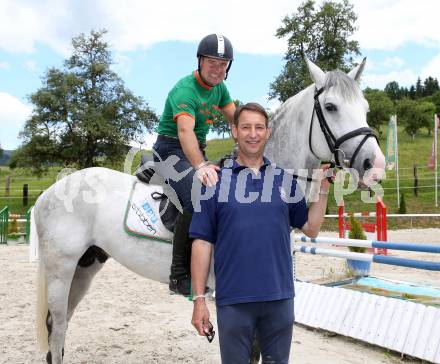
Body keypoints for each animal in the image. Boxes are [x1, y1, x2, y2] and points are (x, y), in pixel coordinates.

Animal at [34, 58, 384, 362]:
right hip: (61, 269)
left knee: (61, 327)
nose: (375, 165)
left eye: (366, 108)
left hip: (86, 266)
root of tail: (51, 192)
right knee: (58, 325)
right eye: (331, 107)